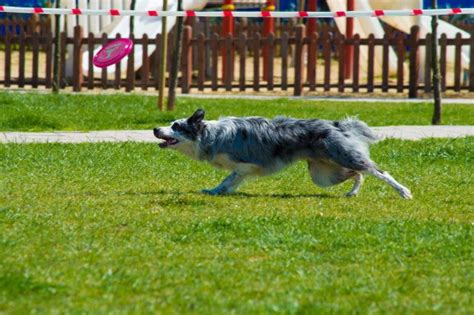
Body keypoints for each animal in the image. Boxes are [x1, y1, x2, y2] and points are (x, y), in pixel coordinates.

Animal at [155, 110, 412, 200]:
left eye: (175, 126)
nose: (156, 129)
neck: (210, 134)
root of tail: (336, 124)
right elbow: (230, 181)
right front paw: (217, 191)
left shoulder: (246, 164)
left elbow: (228, 179)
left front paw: (215, 191)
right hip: (323, 174)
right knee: (358, 173)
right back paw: (352, 192)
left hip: (341, 157)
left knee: (377, 171)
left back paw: (404, 192)